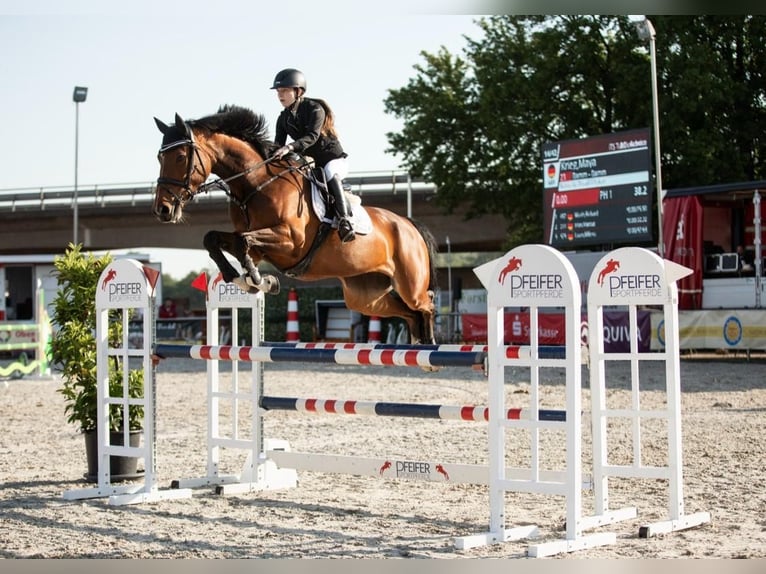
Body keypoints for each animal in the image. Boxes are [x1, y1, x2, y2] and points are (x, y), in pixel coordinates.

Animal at [152, 105, 437, 344]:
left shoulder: (290, 242)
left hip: (410, 284)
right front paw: (244, 278)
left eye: (180, 157)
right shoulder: (257, 245)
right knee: (410, 314)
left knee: (426, 304)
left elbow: (243, 241)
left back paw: (430, 349)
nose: (163, 210)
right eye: (159, 158)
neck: (255, 185)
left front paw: (257, 280)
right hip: (366, 295)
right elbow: (214, 238)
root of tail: (409, 224)